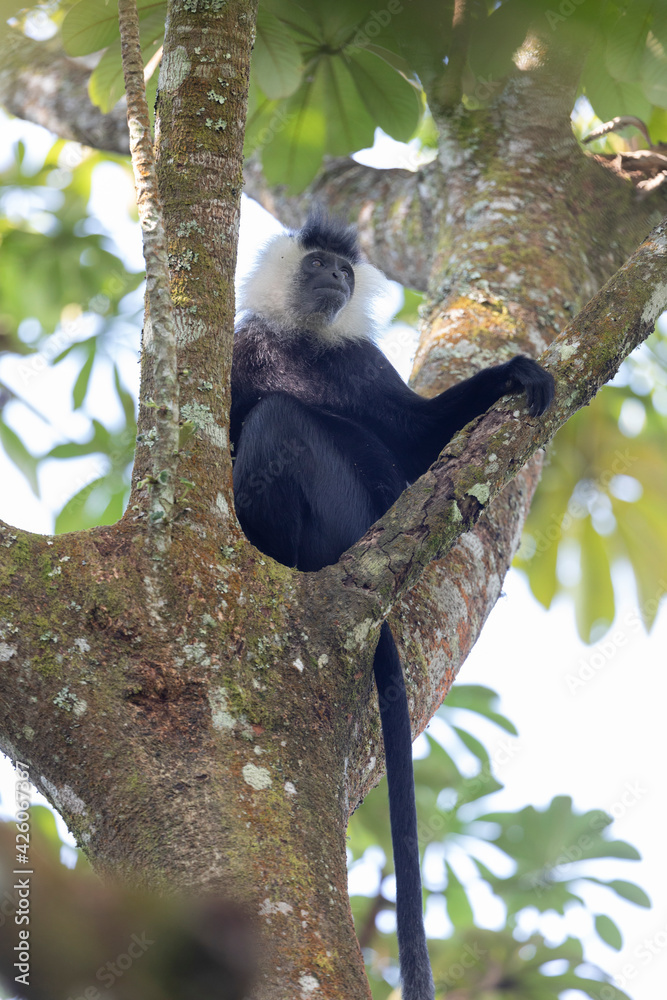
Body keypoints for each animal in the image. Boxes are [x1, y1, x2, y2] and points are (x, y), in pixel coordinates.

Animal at [230, 211, 555, 1000]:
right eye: (318, 264)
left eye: (343, 272)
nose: (336, 277)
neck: (304, 344)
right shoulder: (245, 348)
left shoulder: (361, 363)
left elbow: (416, 439)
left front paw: (514, 374)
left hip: (340, 513)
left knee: (281, 420)